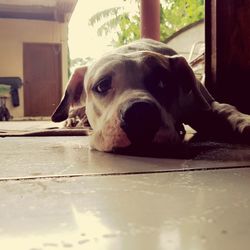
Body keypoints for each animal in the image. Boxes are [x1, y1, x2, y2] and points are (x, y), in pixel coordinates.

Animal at [51, 38, 250, 154]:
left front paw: (244, 121)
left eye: (163, 82)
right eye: (102, 85)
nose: (139, 113)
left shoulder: (202, 105)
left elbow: (225, 108)